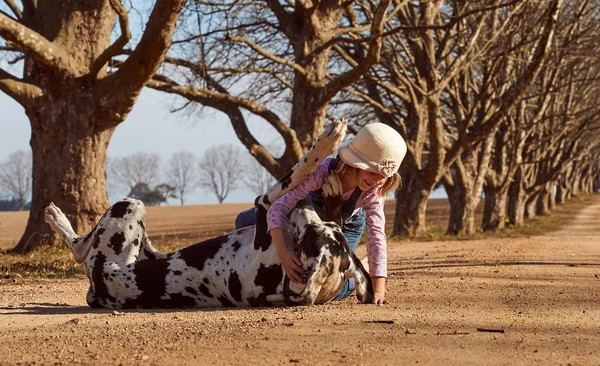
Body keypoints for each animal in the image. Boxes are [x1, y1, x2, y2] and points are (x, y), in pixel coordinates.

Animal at [44, 118, 372, 308]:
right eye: (320, 228)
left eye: (310, 234)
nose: (304, 204)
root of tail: (96, 291)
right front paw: (331, 179)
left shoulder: (263, 204)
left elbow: (294, 172)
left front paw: (326, 143)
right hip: (146, 239)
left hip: (129, 207)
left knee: (80, 248)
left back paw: (56, 218)